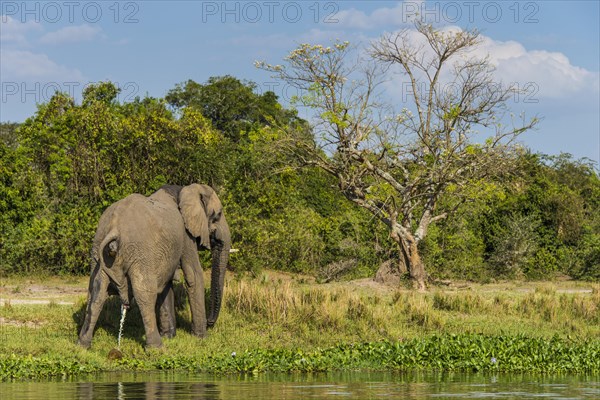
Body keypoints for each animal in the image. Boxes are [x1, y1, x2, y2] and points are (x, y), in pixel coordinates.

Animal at [77, 184, 230, 346]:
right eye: (218, 215)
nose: (210, 322)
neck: (184, 190)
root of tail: (114, 228)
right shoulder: (186, 236)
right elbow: (193, 276)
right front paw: (201, 338)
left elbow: (166, 283)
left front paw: (169, 336)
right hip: (139, 251)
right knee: (144, 293)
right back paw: (157, 347)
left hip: (98, 251)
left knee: (97, 291)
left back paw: (83, 345)